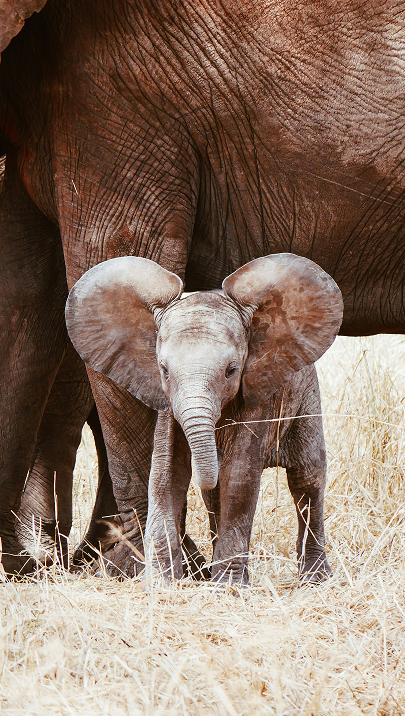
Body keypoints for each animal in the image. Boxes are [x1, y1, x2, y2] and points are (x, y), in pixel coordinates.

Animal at [66, 254, 343, 584]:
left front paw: (229, 587)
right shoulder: (168, 406)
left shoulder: (257, 394)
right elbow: (165, 474)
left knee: (307, 478)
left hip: (305, 397)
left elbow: (239, 476)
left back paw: (315, 578)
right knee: (215, 499)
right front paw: (163, 584)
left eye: (231, 370)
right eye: (164, 370)